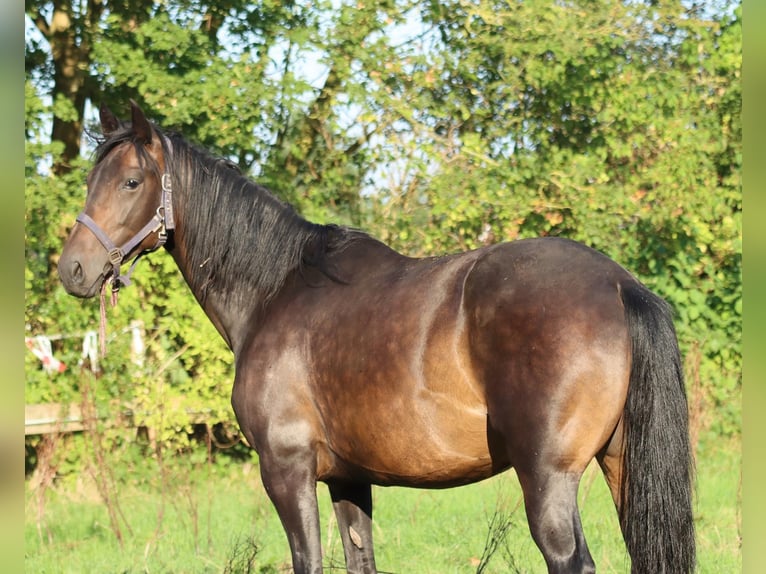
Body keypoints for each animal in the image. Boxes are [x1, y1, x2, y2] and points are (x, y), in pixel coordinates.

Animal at [58, 102, 696, 574]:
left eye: (131, 181)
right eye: (91, 181)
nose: (72, 270)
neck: (274, 291)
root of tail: (617, 284)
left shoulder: (286, 470)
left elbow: (308, 560)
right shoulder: (349, 479)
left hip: (548, 481)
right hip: (622, 469)